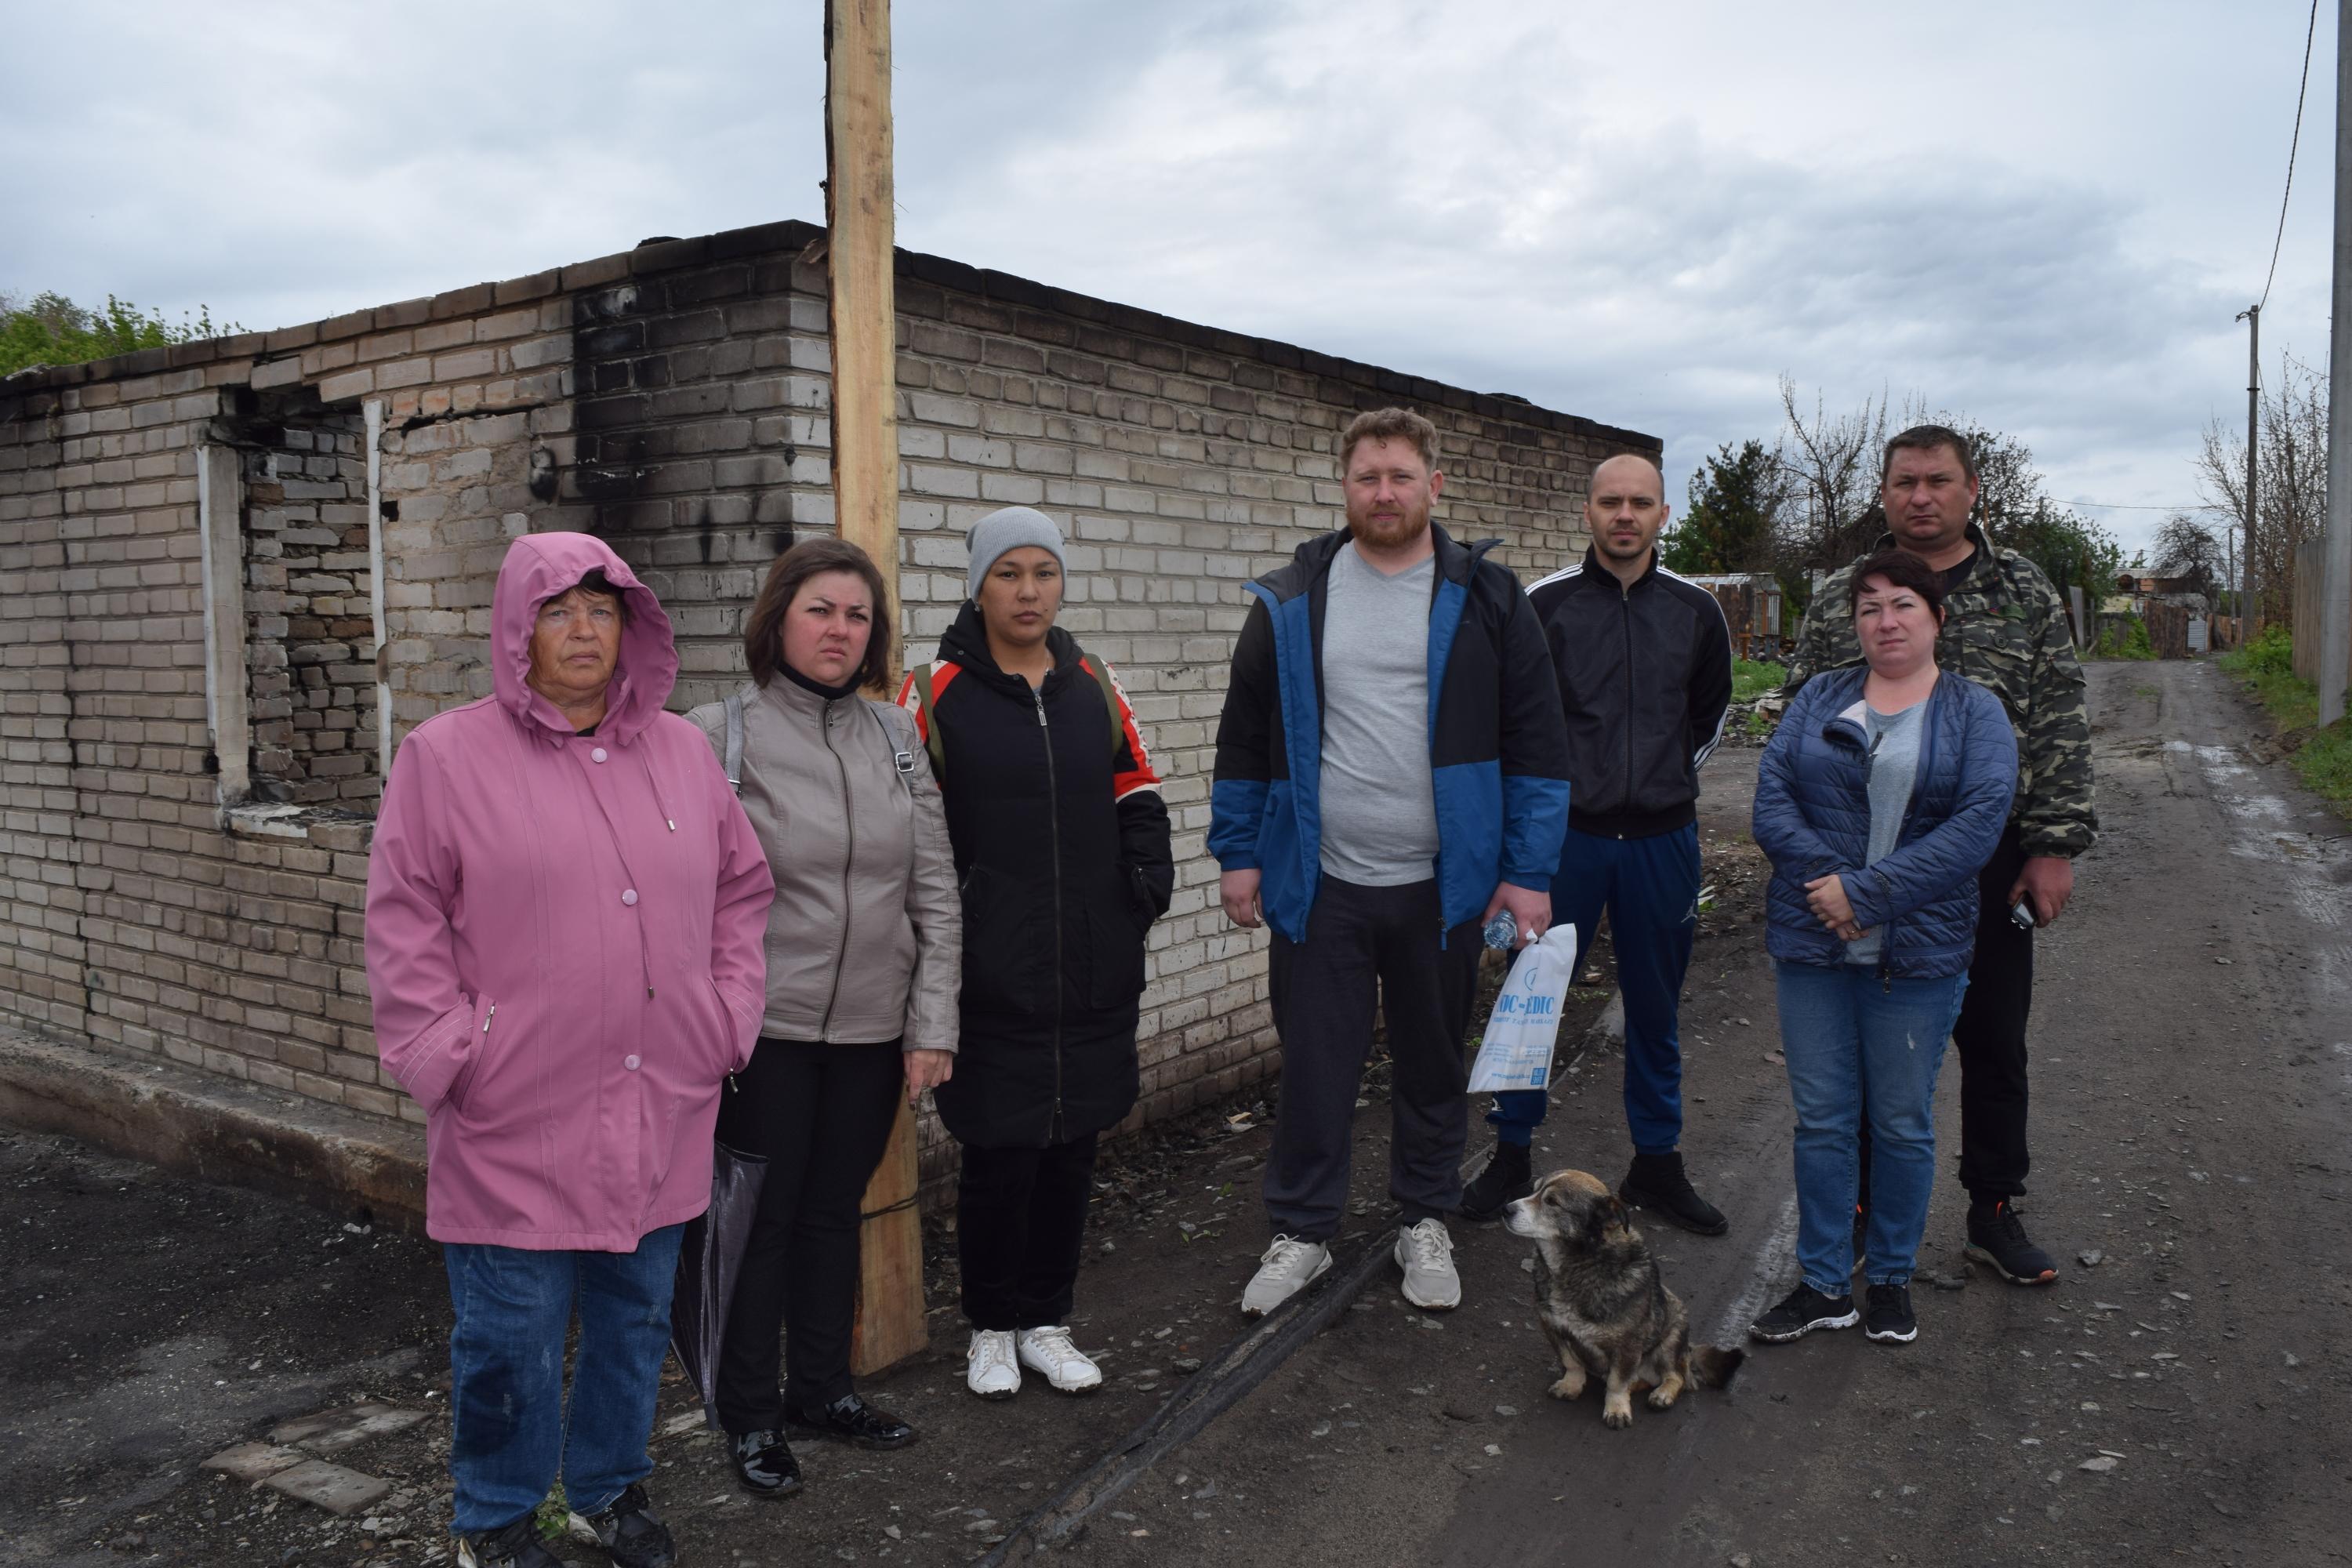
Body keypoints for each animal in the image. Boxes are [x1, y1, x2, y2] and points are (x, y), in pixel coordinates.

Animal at [1505, 1171, 1750, 1429]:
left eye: (1552, 1202)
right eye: (1533, 1190)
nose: (1505, 1209)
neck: (1580, 1265)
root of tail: (1688, 1351)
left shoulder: (1628, 1345)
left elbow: (1617, 1381)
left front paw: (1617, 1408)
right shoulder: (1553, 1328)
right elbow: (1571, 1363)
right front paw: (1571, 1385)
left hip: (1671, 1337)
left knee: (1678, 1377)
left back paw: (1663, 1394)